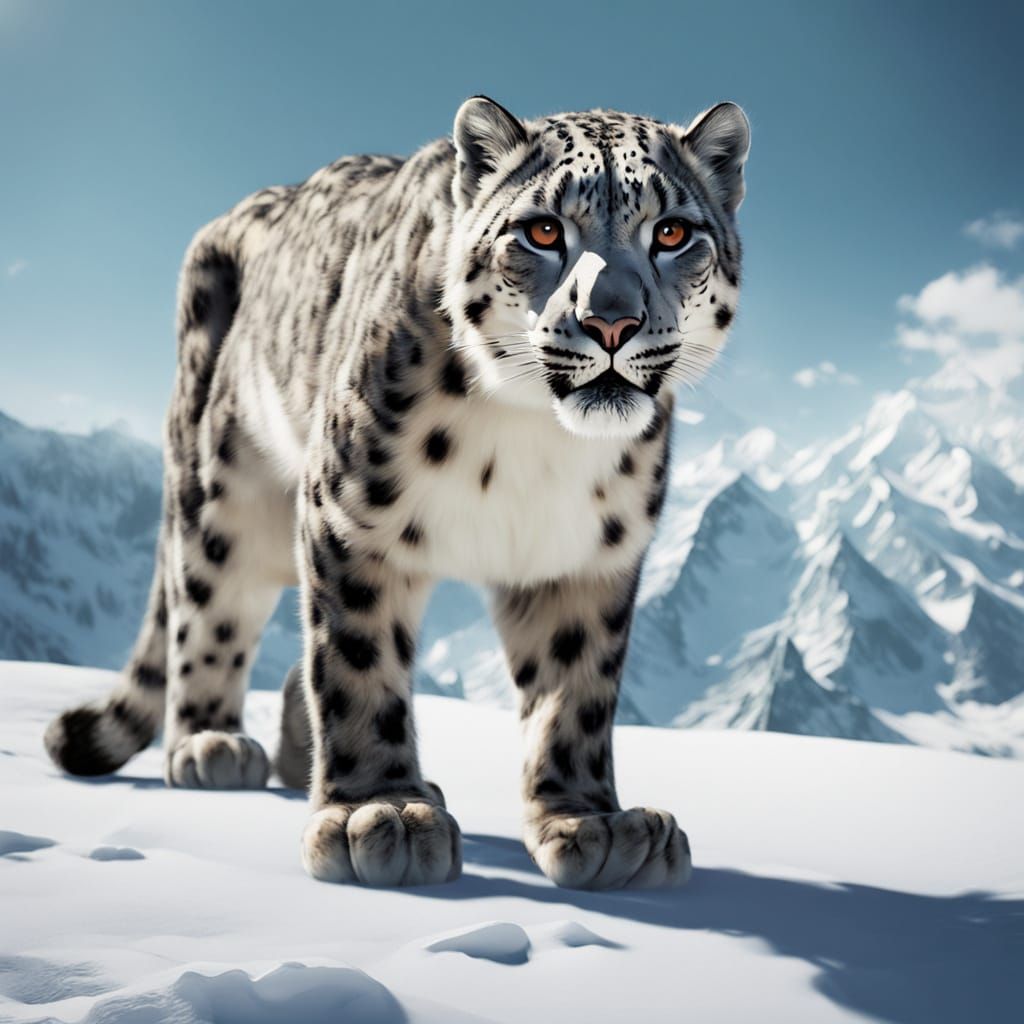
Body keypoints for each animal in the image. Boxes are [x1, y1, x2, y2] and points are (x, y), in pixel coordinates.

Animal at [44, 96, 750, 890]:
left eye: (672, 233)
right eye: (542, 230)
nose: (612, 321)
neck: (536, 445)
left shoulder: (588, 556)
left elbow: (577, 689)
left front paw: (590, 822)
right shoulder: (351, 516)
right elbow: (357, 658)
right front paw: (378, 812)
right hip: (224, 490)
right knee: (208, 607)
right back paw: (210, 746)